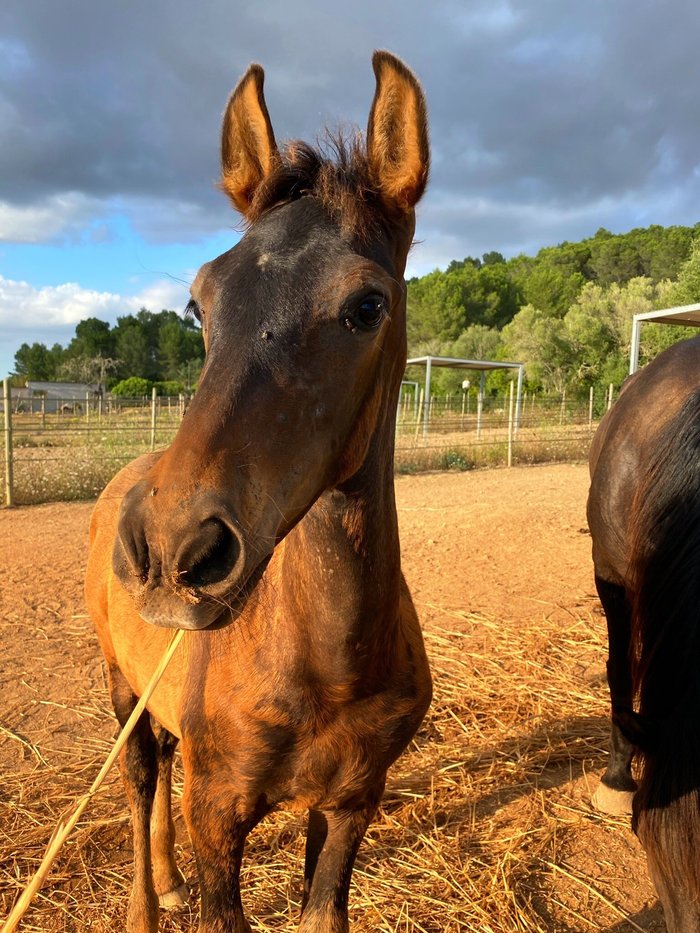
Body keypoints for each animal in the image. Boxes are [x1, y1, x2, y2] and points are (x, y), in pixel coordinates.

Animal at [83, 51, 432, 932]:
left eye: (368, 304)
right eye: (200, 299)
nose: (173, 550)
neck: (329, 671)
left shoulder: (350, 802)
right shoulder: (220, 812)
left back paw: (167, 878)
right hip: (122, 687)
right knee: (140, 782)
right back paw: (146, 901)